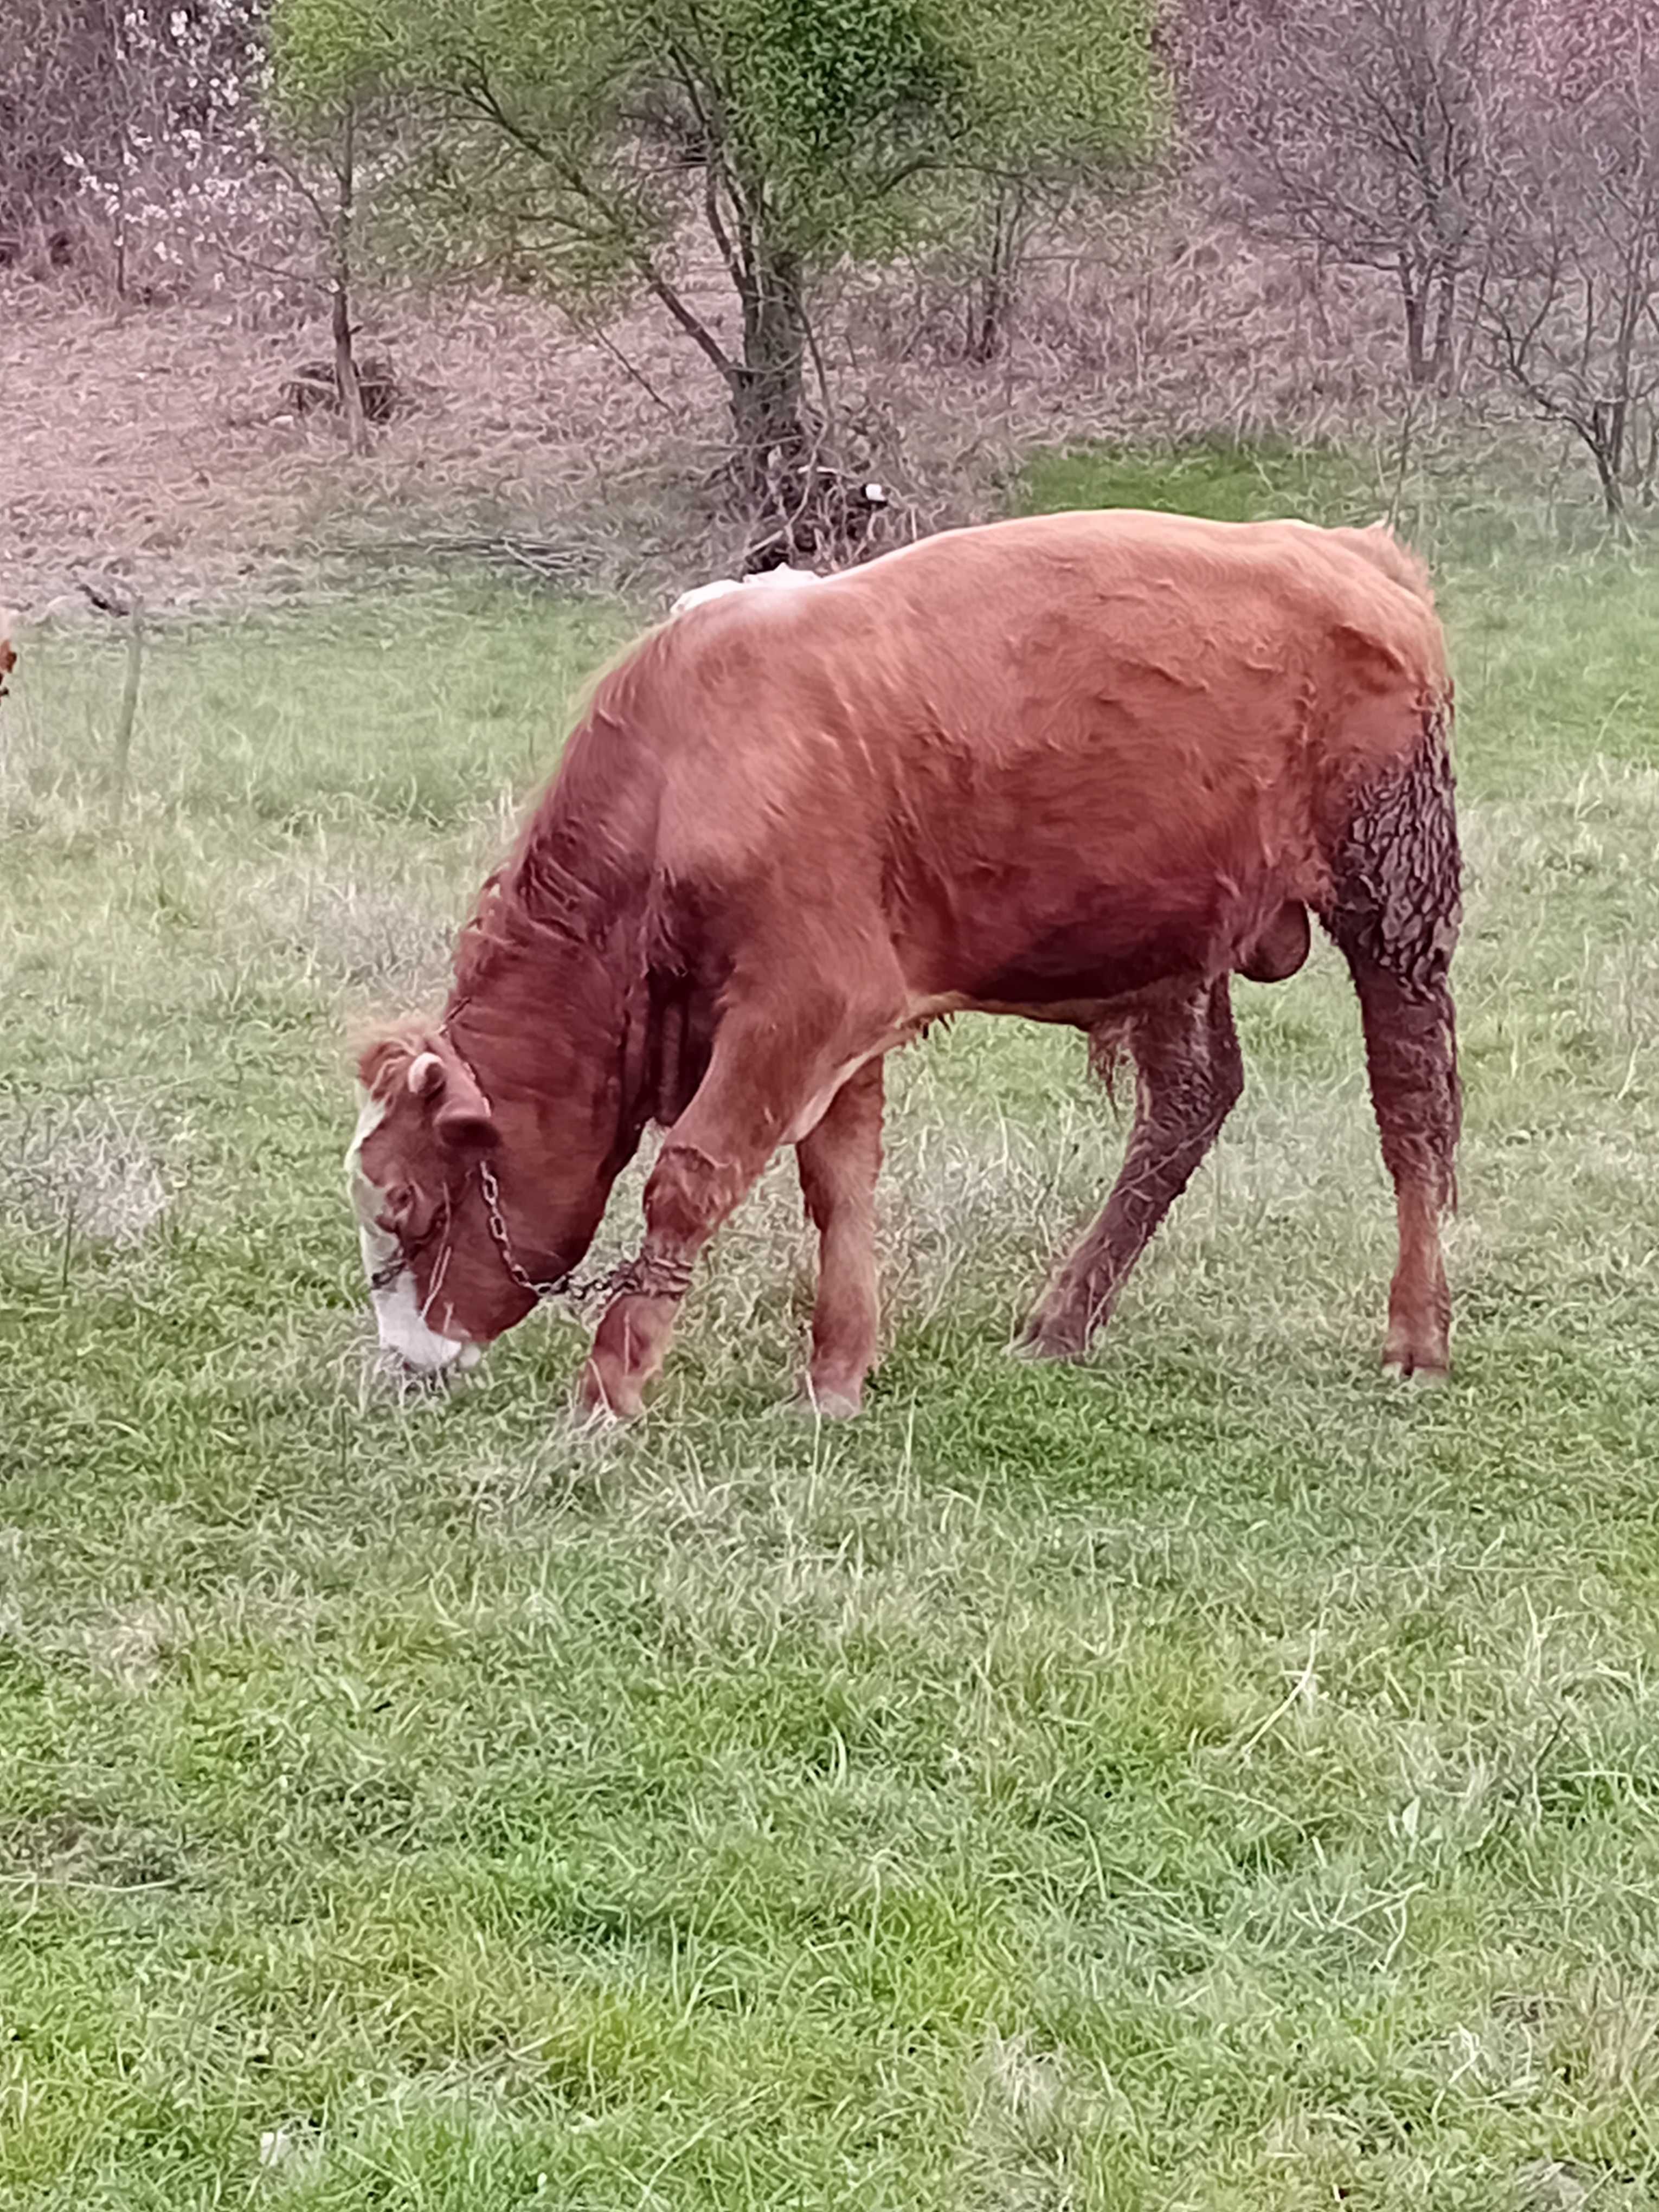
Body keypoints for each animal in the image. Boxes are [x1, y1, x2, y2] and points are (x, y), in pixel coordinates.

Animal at [345, 506, 1459, 1416]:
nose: (406, 1362)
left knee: (1412, 1113)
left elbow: (690, 1181)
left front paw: (607, 1395)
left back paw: (1418, 1336)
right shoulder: (839, 1023)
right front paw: (835, 1378)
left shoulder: (803, 1002)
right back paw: (1062, 1321)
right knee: (1188, 1105)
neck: (687, 770)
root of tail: (1350, 551)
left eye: (406, 1204)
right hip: (1177, 941)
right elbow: (839, 1184)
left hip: (1395, 905)